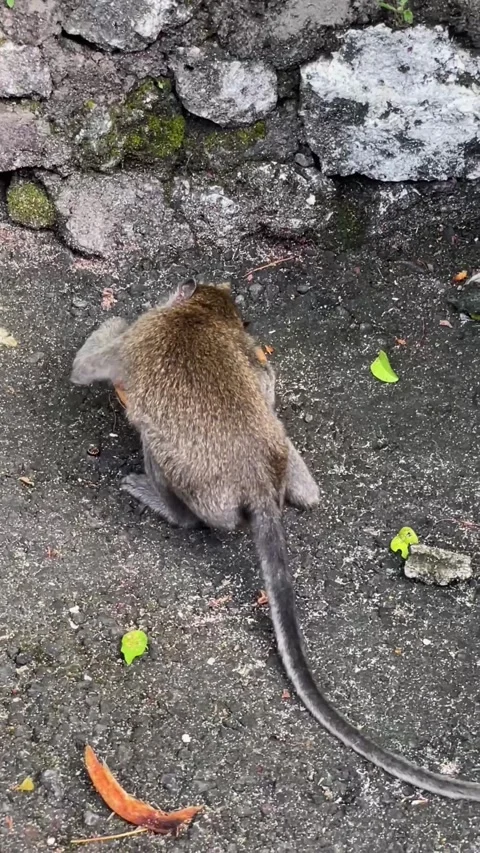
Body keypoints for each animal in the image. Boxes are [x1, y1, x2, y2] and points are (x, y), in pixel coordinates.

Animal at [71, 281, 480, 801]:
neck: (200, 314)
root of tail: (260, 486)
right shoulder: (251, 354)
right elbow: (266, 382)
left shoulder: (138, 341)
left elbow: (88, 366)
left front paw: (112, 321)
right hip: (281, 450)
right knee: (281, 436)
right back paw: (305, 492)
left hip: (192, 480)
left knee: (161, 457)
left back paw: (164, 504)